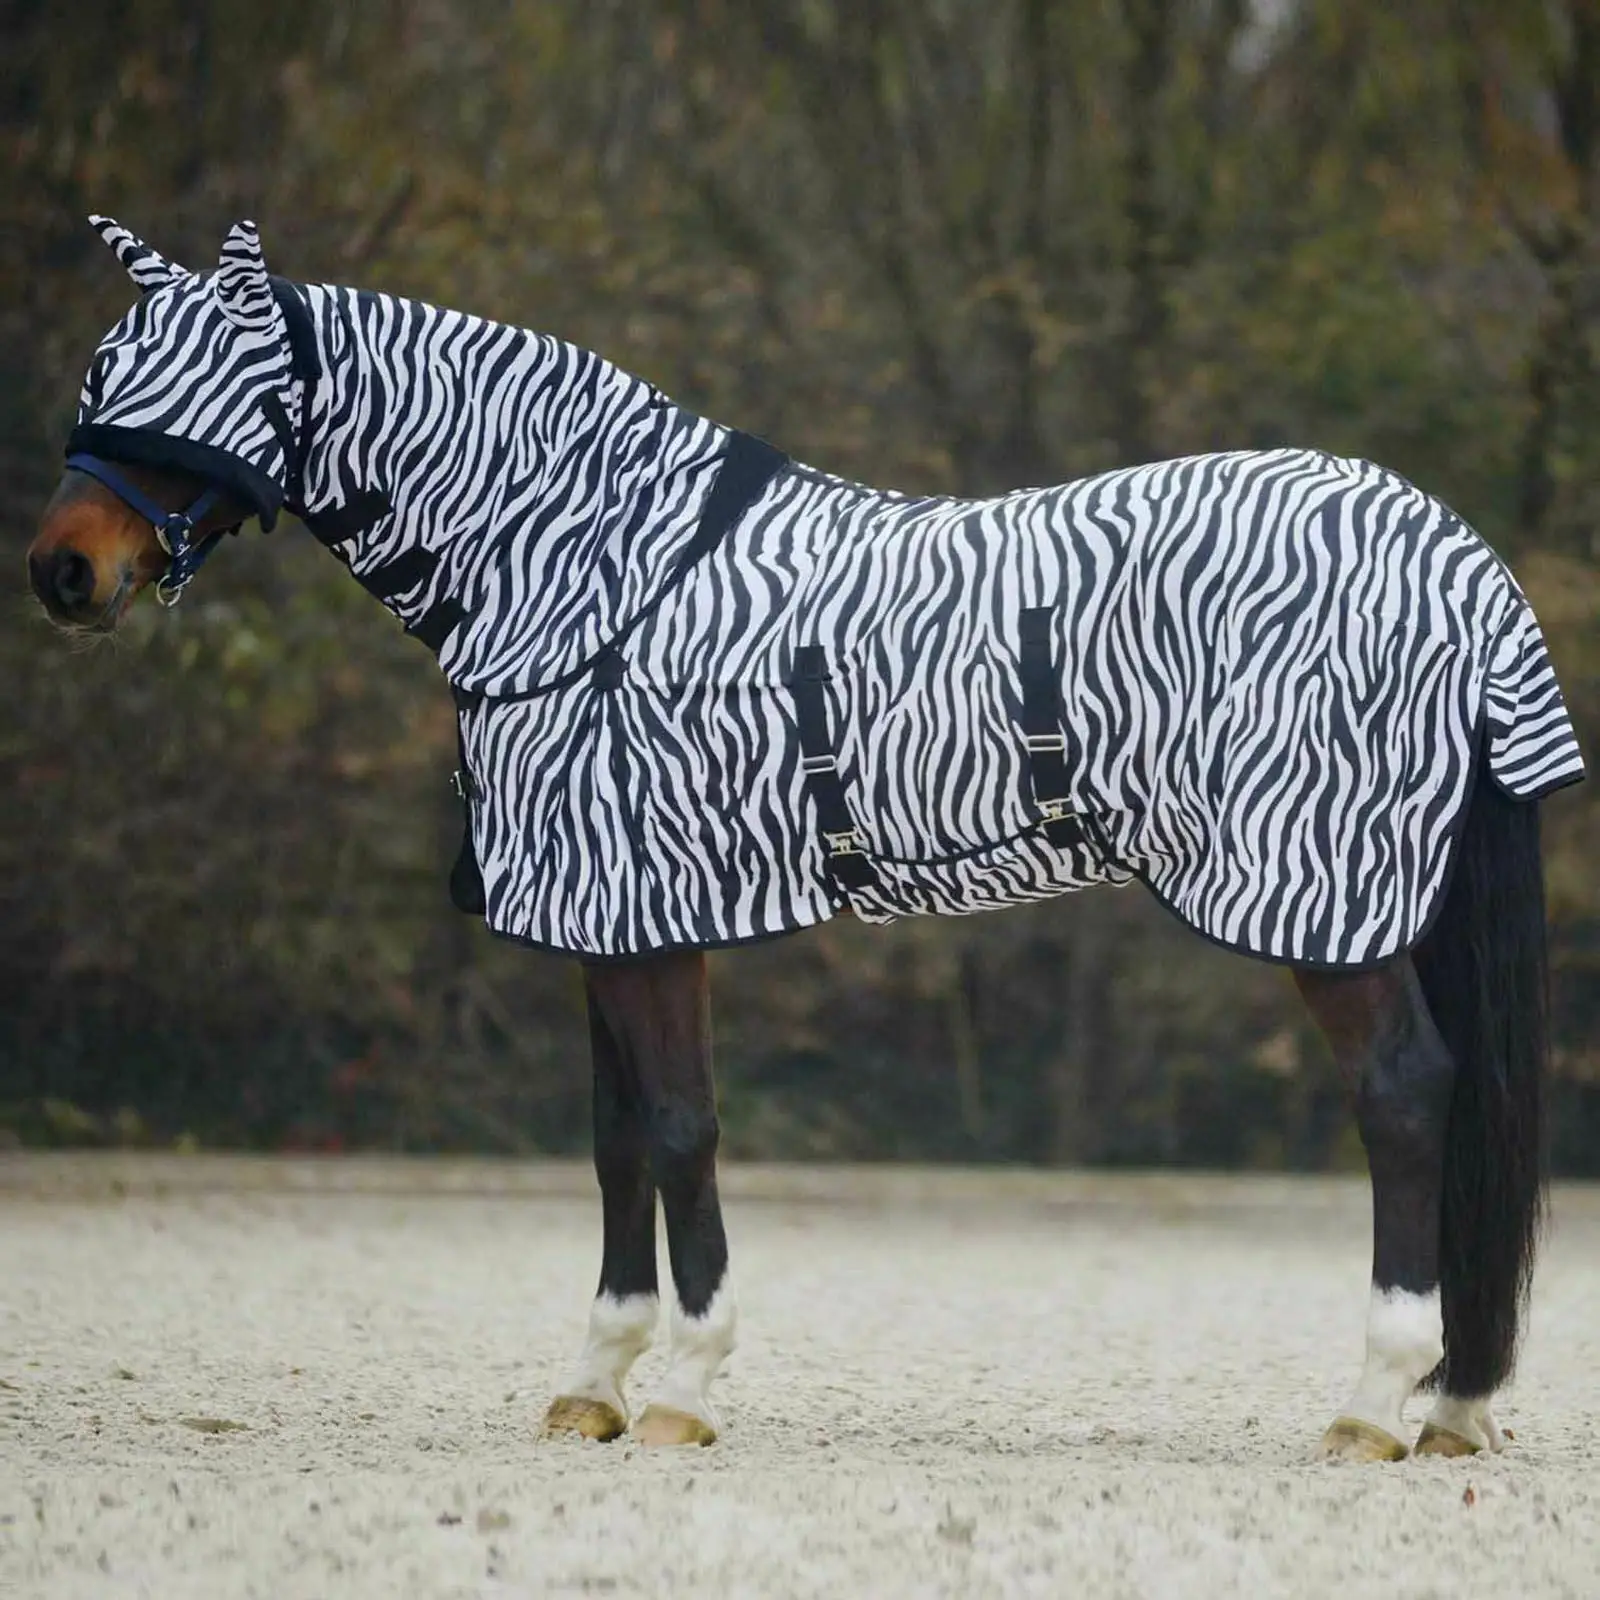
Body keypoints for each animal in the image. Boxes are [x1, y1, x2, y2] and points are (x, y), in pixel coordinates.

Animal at [27, 216, 1585, 1459]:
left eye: (205, 393)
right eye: (100, 380)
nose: (62, 573)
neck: (594, 572)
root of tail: (1457, 560)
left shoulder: (650, 913)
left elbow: (680, 1127)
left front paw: (684, 1388)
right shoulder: (606, 921)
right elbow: (616, 1140)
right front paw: (595, 1383)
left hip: (1328, 900)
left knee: (1404, 1097)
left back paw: (1377, 1404)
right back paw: (1453, 1406)